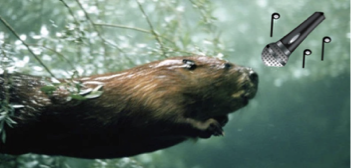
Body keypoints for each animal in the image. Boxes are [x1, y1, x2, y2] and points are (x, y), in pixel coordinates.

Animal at [0, 56, 258, 159]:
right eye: (227, 65)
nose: (254, 74)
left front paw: (222, 119)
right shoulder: (155, 94)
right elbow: (169, 119)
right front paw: (213, 125)